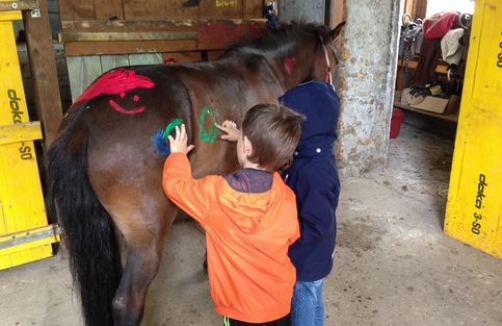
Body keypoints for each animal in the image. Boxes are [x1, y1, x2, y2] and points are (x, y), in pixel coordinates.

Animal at [46, 21, 346, 326]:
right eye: (335, 58)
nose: (334, 93)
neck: (267, 67)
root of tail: (85, 118)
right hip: (146, 238)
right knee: (126, 301)